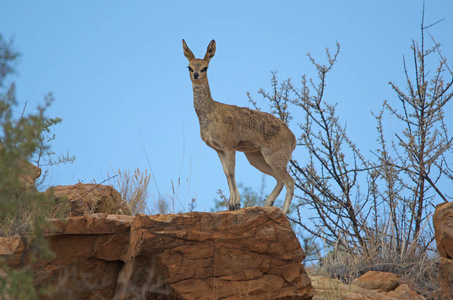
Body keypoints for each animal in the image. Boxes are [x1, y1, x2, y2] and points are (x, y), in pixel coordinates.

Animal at [182, 39, 294, 214]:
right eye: (189, 67)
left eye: (205, 67)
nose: (196, 74)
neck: (210, 111)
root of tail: (293, 138)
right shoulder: (218, 149)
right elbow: (226, 173)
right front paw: (231, 204)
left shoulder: (229, 146)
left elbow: (232, 172)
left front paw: (235, 203)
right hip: (256, 158)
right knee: (280, 179)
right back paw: (267, 204)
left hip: (275, 157)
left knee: (290, 181)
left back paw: (283, 211)